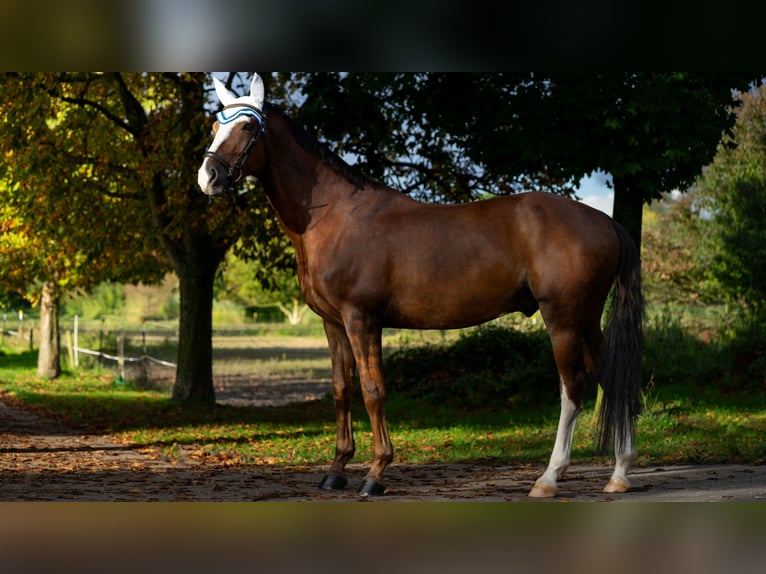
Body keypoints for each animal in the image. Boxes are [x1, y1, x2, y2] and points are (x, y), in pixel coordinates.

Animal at [195, 75, 644, 500]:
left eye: (248, 126)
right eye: (216, 124)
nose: (208, 177)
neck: (334, 216)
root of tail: (604, 222)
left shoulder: (362, 319)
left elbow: (373, 390)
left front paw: (376, 473)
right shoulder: (333, 324)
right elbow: (342, 390)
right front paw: (336, 470)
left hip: (564, 318)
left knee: (573, 387)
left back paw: (549, 478)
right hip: (587, 317)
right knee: (612, 376)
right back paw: (619, 475)